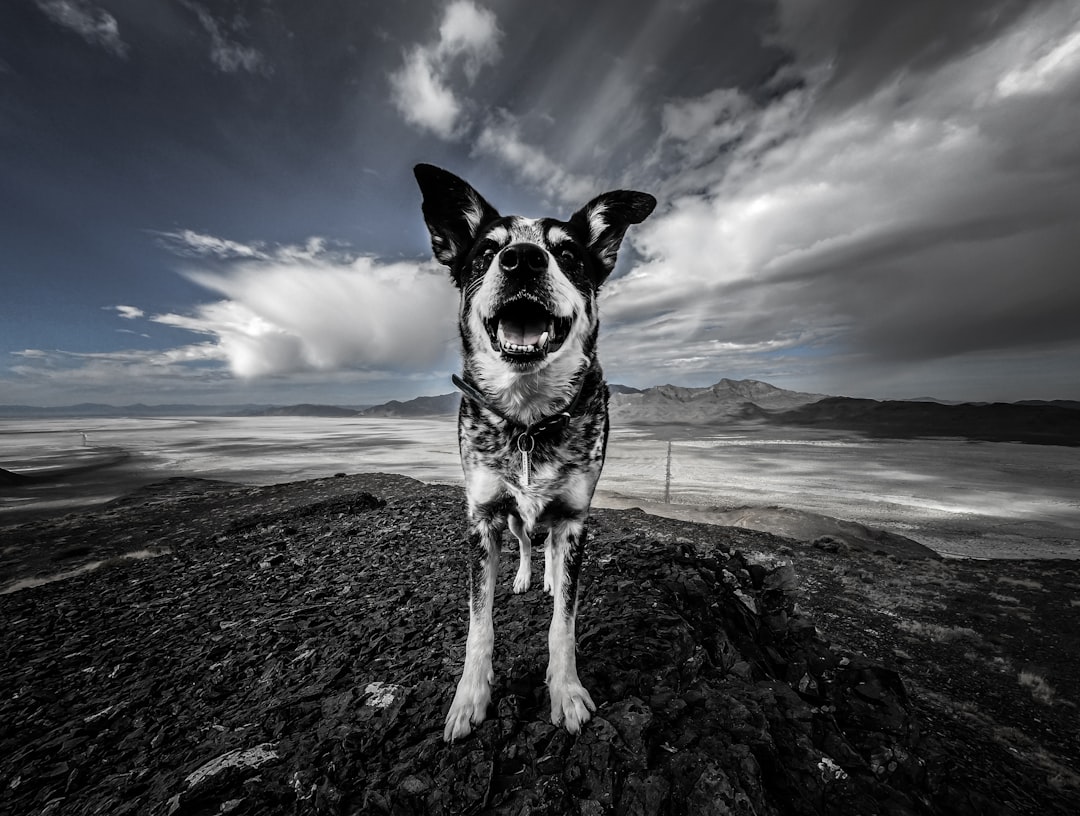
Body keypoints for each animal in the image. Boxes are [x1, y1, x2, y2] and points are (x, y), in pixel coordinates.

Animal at [414, 164, 656, 738]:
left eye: (567, 252)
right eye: (487, 251)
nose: (522, 258)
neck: (528, 419)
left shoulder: (574, 518)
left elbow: (563, 624)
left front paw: (565, 692)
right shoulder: (482, 518)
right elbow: (479, 623)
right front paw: (469, 697)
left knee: (545, 546)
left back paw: (545, 575)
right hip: (510, 516)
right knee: (526, 538)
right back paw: (526, 574)